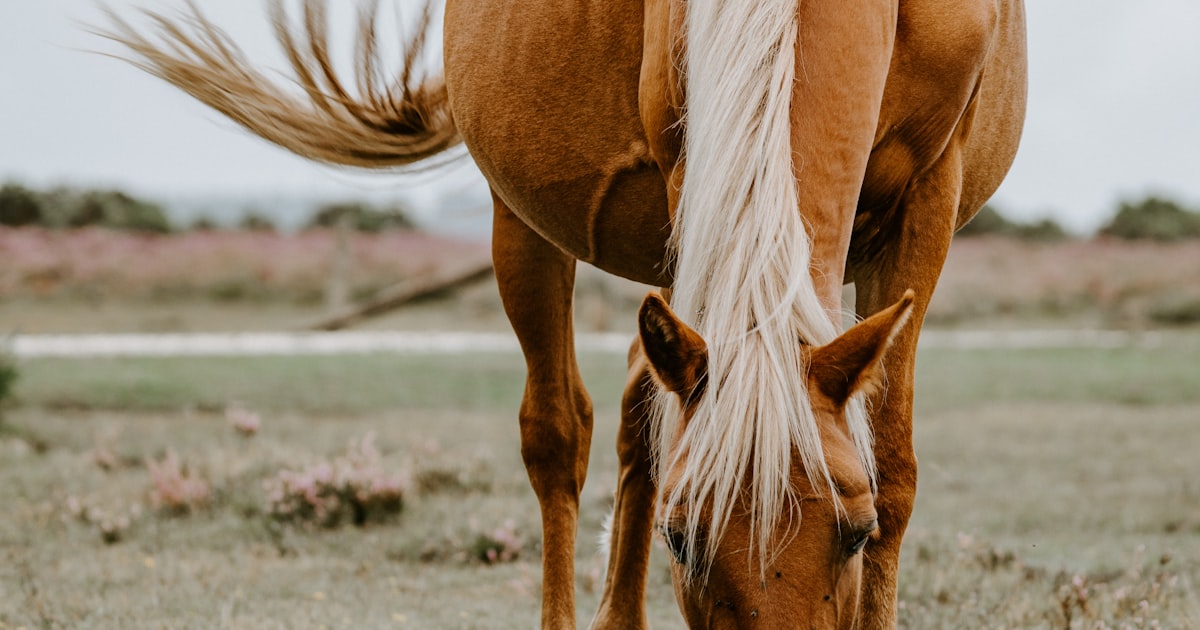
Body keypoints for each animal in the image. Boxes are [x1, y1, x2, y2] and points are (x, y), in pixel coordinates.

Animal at [102, 0, 1026, 627]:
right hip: (528, 223)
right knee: (562, 433)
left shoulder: (929, 197)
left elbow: (894, 465)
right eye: (681, 540)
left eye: (857, 533)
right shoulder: (686, 167)